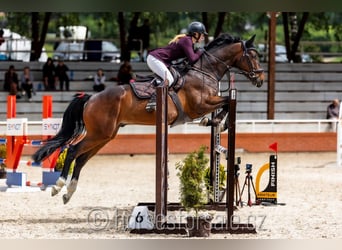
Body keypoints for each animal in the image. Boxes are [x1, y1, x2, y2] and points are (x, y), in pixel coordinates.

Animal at [32, 32, 264, 203]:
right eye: (253, 56)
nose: (260, 79)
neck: (204, 71)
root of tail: (91, 98)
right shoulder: (199, 106)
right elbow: (225, 101)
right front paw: (215, 121)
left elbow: (226, 102)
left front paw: (217, 122)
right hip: (99, 133)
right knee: (72, 150)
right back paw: (58, 186)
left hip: (105, 135)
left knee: (80, 158)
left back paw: (69, 192)